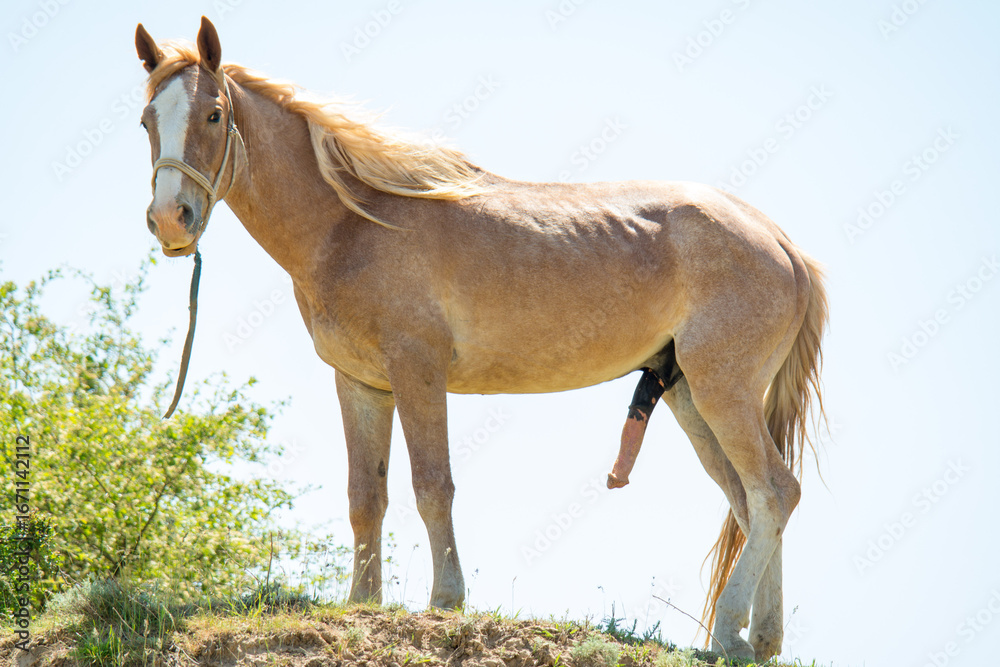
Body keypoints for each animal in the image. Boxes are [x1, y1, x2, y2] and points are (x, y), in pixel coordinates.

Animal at [135, 17, 827, 661]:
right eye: (146, 120)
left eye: (213, 113)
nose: (171, 220)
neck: (353, 225)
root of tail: (781, 243)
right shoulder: (360, 383)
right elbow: (366, 495)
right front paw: (362, 603)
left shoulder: (418, 370)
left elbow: (431, 485)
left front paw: (446, 600)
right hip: (689, 396)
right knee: (748, 500)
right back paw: (760, 638)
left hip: (722, 390)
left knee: (773, 491)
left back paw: (728, 635)